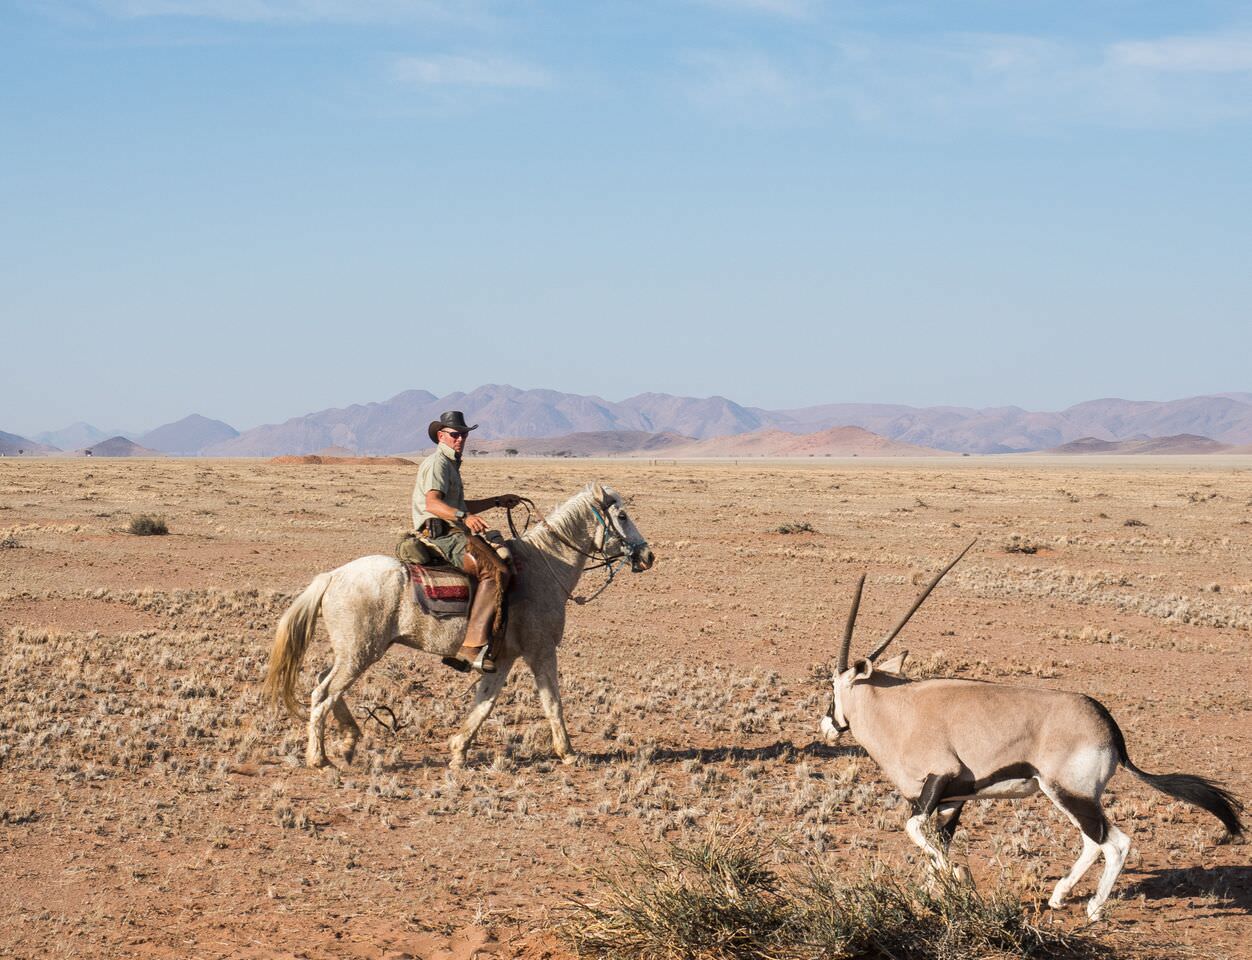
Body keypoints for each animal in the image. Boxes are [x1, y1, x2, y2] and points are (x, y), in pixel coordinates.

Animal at [264, 485, 656, 771]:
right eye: (622, 515)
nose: (647, 555)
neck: (544, 568)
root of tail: (332, 576)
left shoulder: (503, 657)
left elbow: (485, 703)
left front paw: (458, 750)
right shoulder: (540, 650)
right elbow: (552, 702)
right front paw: (569, 752)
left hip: (352, 651)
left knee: (325, 685)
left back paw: (348, 742)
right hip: (360, 652)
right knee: (323, 693)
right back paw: (319, 758)